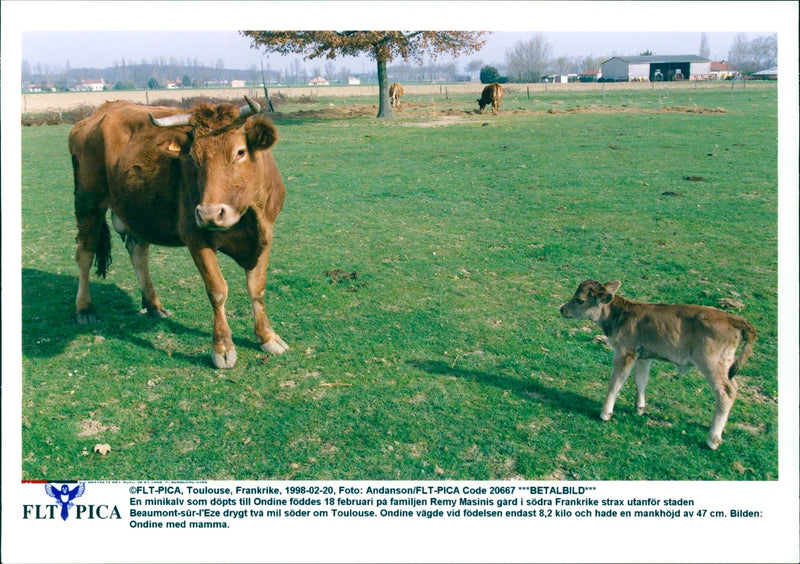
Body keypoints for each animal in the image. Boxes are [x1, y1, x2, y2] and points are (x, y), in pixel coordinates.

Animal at [69, 97, 288, 370]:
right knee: (85, 254)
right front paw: (222, 348)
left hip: (138, 212)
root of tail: (100, 112)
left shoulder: (266, 234)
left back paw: (154, 306)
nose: (209, 213)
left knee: (138, 255)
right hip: (87, 202)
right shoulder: (196, 237)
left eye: (240, 152)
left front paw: (267, 337)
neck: (248, 217)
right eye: (193, 158)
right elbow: (217, 290)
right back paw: (84, 309)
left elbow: (257, 288)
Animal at [556, 278, 756, 450]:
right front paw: (639, 408)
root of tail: (735, 320)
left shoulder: (624, 353)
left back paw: (713, 439)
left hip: (711, 363)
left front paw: (605, 414)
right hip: (725, 365)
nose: (562, 309)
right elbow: (641, 380)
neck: (620, 316)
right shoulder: (644, 356)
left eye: (580, 300)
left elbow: (615, 383)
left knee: (726, 393)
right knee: (734, 387)